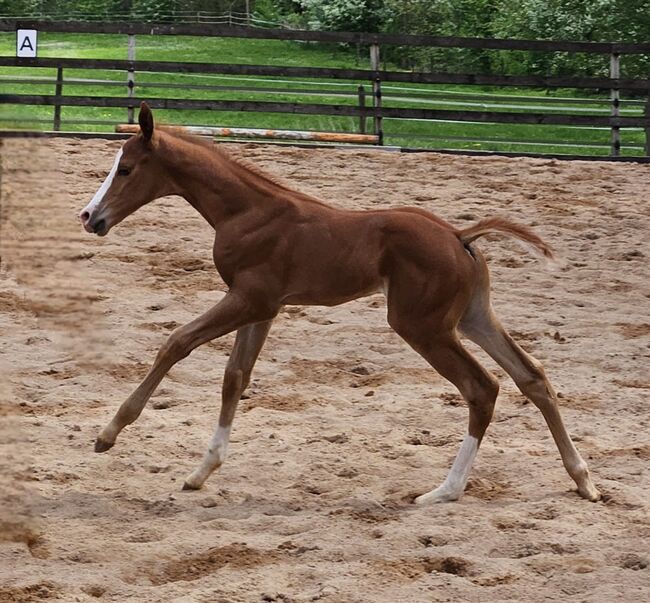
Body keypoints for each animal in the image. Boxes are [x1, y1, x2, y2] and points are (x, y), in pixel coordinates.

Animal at [79, 105, 596, 504]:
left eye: (126, 169)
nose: (89, 217)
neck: (249, 212)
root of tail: (458, 235)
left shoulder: (247, 298)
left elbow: (176, 343)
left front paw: (108, 433)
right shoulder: (263, 308)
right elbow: (235, 377)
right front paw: (202, 471)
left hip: (422, 326)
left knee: (482, 388)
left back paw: (444, 491)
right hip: (472, 318)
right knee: (532, 376)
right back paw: (583, 479)